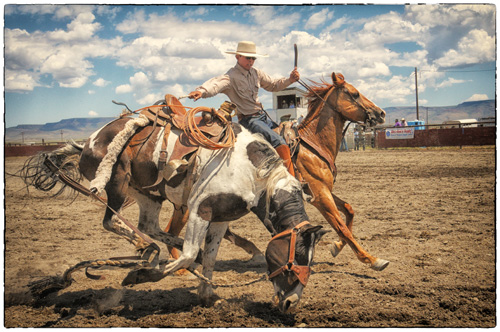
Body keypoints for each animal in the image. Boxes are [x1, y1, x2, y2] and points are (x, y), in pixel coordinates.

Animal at [32, 112, 328, 314]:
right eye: (295, 257)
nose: (291, 302)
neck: (252, 173)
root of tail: (87, 143)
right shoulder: (200, 210)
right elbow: (188, 253)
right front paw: (140, 276)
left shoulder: (221, 218)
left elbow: (209, 257)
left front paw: (208, 296)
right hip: (117, 183)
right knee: (112, 221)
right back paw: (145, 248)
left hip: (148, 194)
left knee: (150, 226)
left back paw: (153, 246)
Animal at [166, 71, 388, 272]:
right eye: (355, 93)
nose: (381, 113)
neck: (313, 144)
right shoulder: (320, 195)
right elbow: (341, 226)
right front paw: (371, 259)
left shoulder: (324, 190)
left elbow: (349, 211)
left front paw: (337, 247)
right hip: (190, 206)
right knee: (172, 230)